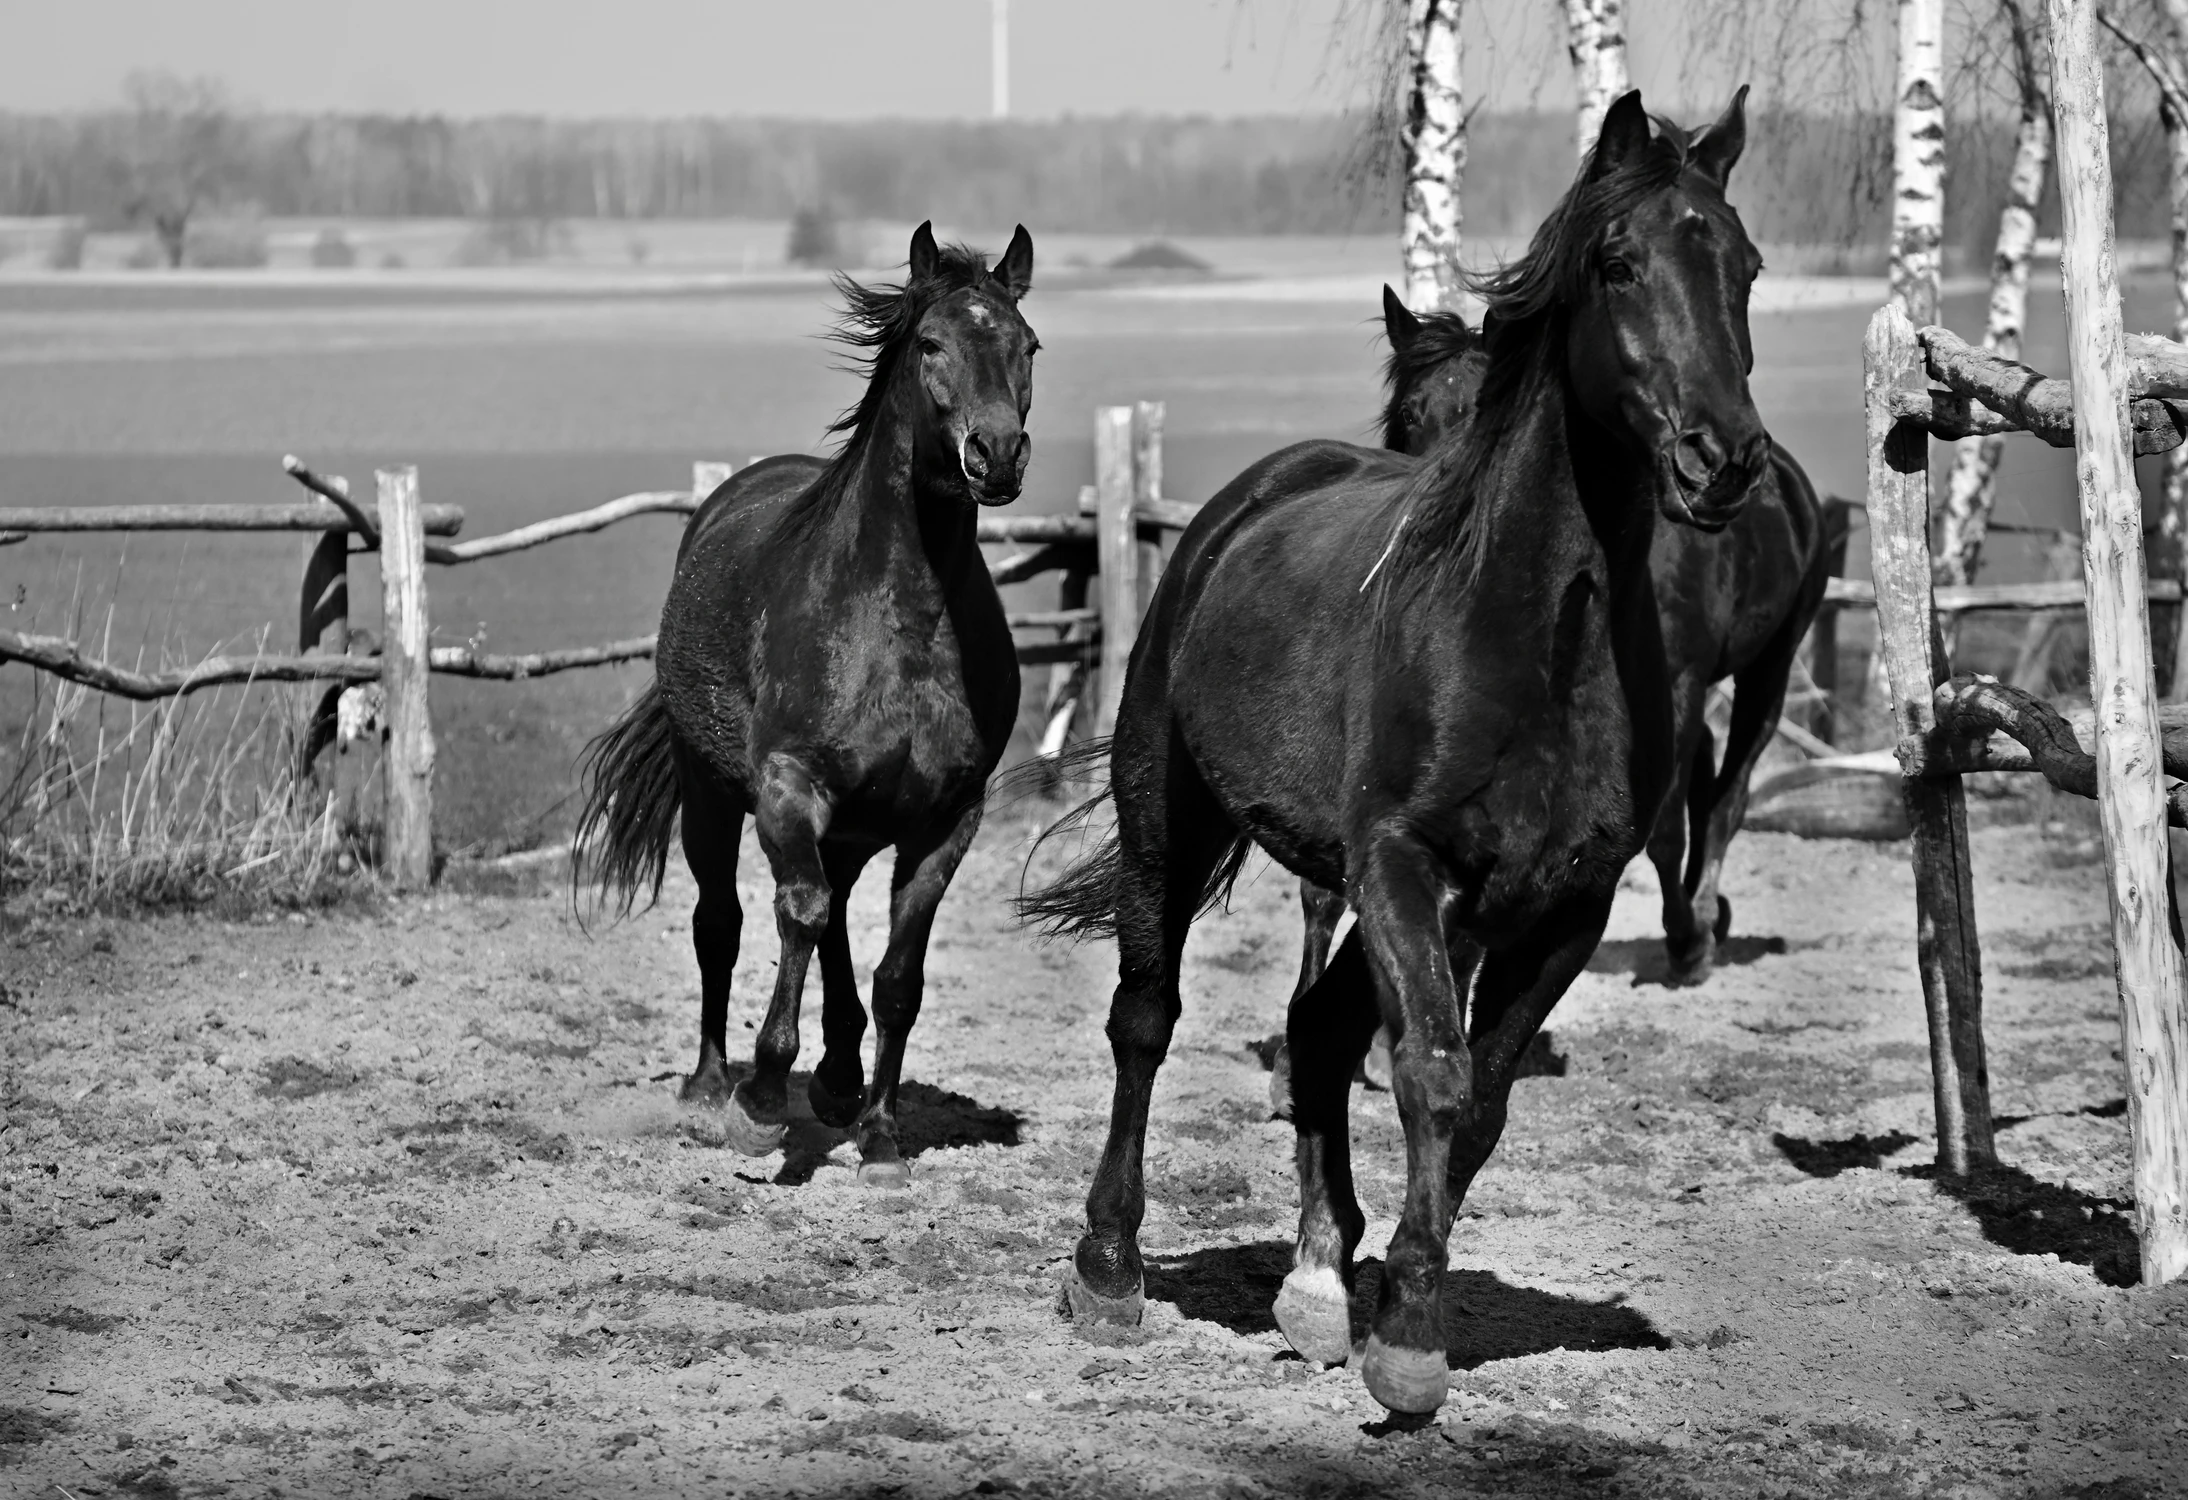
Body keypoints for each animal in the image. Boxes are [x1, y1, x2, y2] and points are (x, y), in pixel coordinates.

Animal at [576, 221, 1038, 1188]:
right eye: (930, 343)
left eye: (1028, 345)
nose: (996, 454)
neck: (903, 621)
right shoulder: (787, 789)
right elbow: (796, 915)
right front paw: (759, 1104)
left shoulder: (948, 819)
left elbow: (899, 975)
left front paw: (882, 1135)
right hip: (713, 801)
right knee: (727, 923)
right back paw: (713, 1083)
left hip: (854, 827)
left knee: (834, 923)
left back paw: (837, 1079)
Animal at [1021, 90, 1768, 1416]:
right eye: (1618, 263)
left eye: (1746, 266)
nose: (1719, 458)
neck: (1533, 633)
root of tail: (1241, 504)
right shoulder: (1402, 865)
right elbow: (1428, 1067)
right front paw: (1410, 1338)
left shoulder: (1561, 905)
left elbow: (1480, 1102)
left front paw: (1387, 1303)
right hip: (1174, 818)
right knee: (1146, 1017)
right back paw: (1108, 1270)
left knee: (1317, 1029)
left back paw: (1319, 1281)